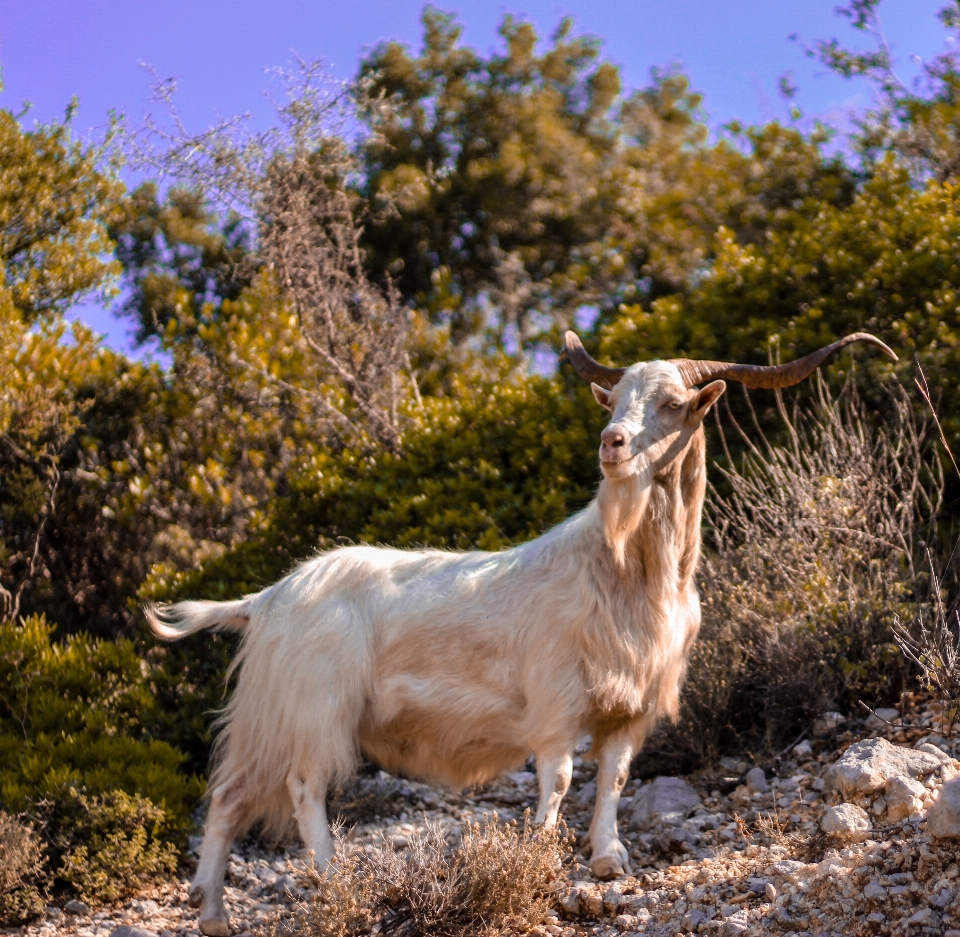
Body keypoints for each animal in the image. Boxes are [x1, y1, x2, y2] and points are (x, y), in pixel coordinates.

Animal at [146, 328, 896, 928]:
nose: (612, 444)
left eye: (672, 404)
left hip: (274, 714)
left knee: (229, 794)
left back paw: (212, 913)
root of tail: (270, 595)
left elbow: (615, 777)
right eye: (616, 399)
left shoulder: (631, 706)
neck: (626, 570)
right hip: (314, 706)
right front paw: (536, 858)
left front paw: (608, 859)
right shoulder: (557, 704)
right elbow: (559, 780)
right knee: (302, 787)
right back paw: (333, 880)